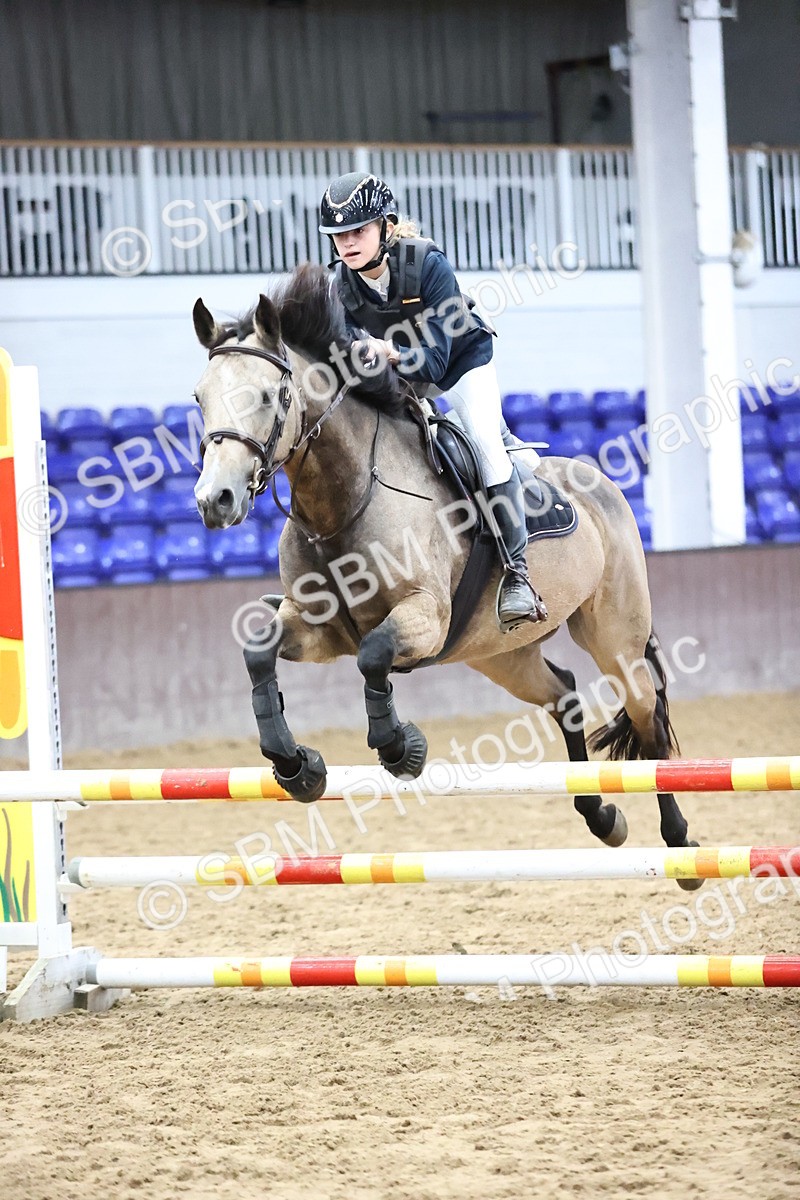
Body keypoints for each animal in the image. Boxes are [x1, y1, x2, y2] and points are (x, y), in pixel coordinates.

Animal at [191, 263, 700, 890]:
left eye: (269, 396)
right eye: (200, 398)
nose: (215, 500)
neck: (344, 499)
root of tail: (602, 483)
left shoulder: (424, 615)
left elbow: (374, 657)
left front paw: (399, 748)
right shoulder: (316, 629)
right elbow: (259, 653)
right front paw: (296, 765)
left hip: (613, 637)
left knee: (647, 719)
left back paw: (681, 846)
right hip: (500, 655)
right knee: (563, 695)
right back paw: (601, 816)